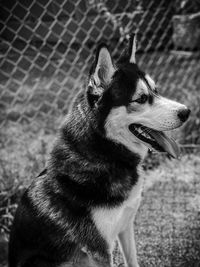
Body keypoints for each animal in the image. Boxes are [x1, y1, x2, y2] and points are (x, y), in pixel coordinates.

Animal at [9, 36, 191, 267]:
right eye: (141, 98)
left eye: (156, 90)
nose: (186, 112)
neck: (105, 153)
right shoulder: (99, 249)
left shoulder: (126, 224)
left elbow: (133, 260)